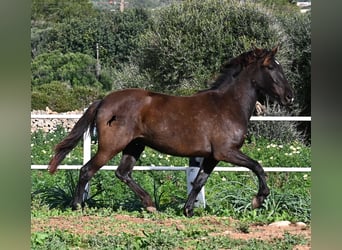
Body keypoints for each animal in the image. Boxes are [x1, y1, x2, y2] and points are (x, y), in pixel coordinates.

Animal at [48, 46, 294, 217]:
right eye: (271, 67)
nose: (289, 96)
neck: (227, 105)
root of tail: (103, 101)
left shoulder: (212, 156)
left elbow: (200, 181)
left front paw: (188, 210)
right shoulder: (226, 151)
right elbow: (257, 166)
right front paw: (258, 200)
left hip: (135, 146)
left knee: (122, 173)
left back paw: (150, 205)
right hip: (111, 146)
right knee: (87, 170)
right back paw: (77, 206)